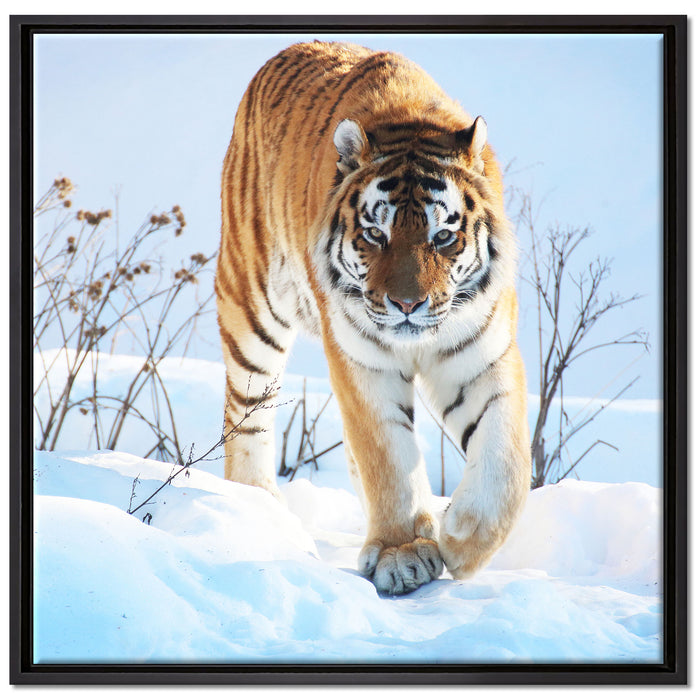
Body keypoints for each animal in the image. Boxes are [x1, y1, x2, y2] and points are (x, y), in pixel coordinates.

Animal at [216, 41, 531, 596]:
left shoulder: (481, 355)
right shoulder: (362, 360)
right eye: (374, 235)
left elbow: (506, 459)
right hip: (251, 307)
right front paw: (402, 553)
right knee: (247, 413)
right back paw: (259, 508)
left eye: (442, 237)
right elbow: (387, 455)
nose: (406, 304)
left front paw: (461, 539)